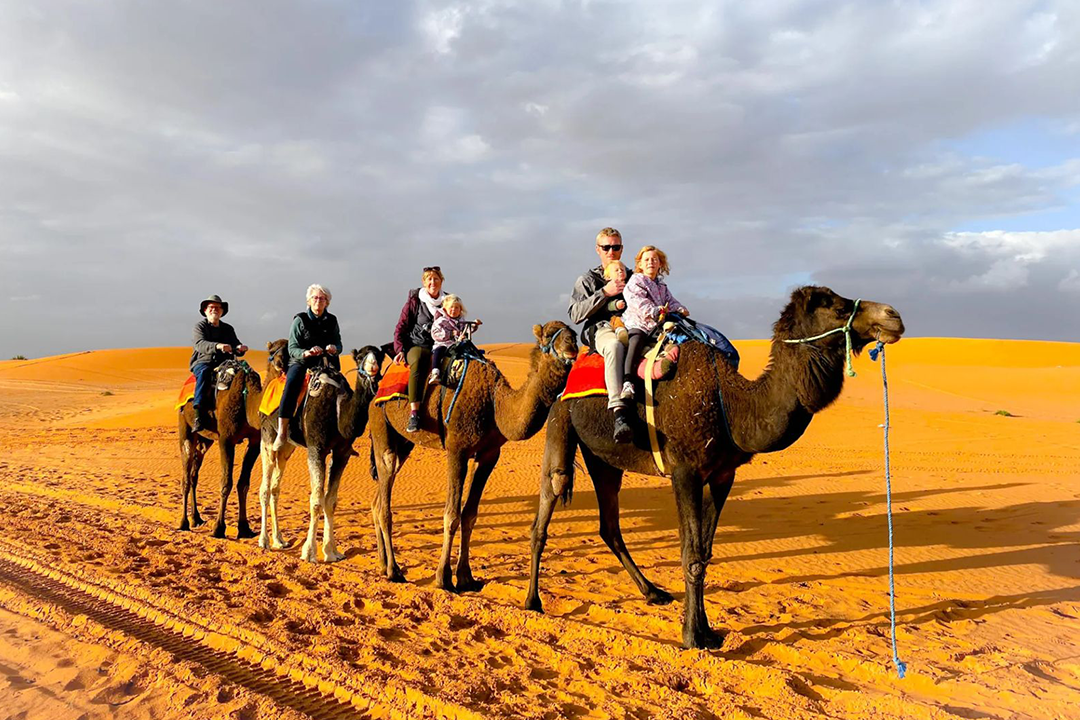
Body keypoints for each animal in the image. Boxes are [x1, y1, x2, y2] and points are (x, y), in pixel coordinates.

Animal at [177, 358, 263, 537]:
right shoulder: (226, 439)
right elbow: (226, 483)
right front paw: (218, 528)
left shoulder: (255, 442)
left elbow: (243, 483)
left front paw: (244, 528)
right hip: (185, 427)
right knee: (186, 476)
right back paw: (184, 522)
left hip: (205, 440)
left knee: (194, 474)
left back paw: (196, 518)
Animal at [257, 343, 384, 561]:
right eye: (360, 357)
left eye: (380, 356)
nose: (373, 367)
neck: (337, 410)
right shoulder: (316, 449)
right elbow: (316, 501)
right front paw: (309, 552)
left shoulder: (342, 452)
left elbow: (330, 501)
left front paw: (331, 551)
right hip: (267, 436)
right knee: (265, 488)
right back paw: (264, 541)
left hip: (287, 448)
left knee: (275, 487)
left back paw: (279, 540)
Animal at [367, 321, 578, 591]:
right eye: (550, 335)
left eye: (572, 332)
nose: (572, 343)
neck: (495, 402)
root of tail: (378, 388)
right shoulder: (457, 449)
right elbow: (452, 515)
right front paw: (444, 577)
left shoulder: (489, 455)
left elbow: (470, 515)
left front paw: (466, 576)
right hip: (380, 425)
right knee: (385, 496)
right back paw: (394, 570)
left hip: (403, 443)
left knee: (378, 498)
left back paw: (383, 564)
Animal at [527, 284, 907, 647]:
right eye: (838, 307)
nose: (894, 316)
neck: (732, 405)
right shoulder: (685, 471)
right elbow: (691, 556)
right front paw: (693, 636)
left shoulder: (724, 474)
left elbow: (705, 552)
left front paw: (707, 630)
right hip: (560, 419)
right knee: (551, 495)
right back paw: (533, 602)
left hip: (605, 459)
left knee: (609, 525)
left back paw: (652, 592)